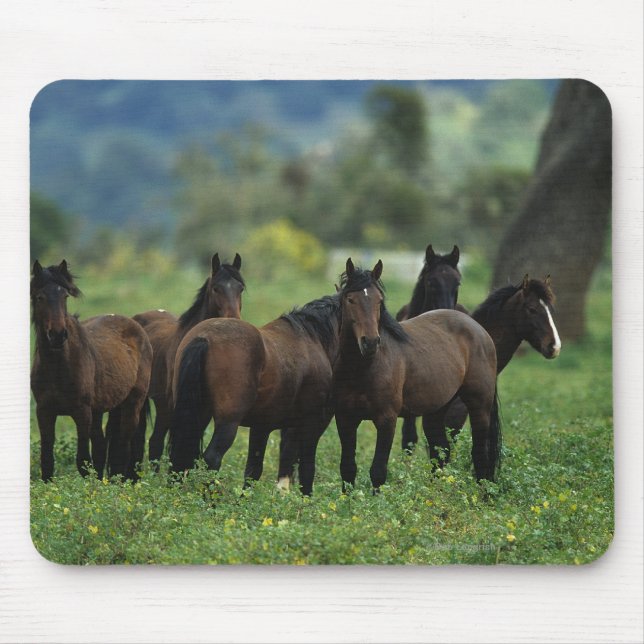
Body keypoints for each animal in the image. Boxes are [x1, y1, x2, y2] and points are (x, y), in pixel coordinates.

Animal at [30, 260, 152, 480]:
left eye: (65, 296)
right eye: (40, 297)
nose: (58, 335)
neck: (58, 367)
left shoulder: (82, 412)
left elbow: (83, 461)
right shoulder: (44, 411)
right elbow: (47, 461)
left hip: (132, 403)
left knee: (123, 443)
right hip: (100, 410)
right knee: (102, 446)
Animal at [132, 253, 244, 465]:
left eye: (241, 288)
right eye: (216, 288)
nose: (233, 320)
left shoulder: (204, 409)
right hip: (160, 404)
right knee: (154, 441)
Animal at [169, 292, 341, 496]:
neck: (312, 338)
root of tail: (203, 338)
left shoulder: (262, 426)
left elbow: (254, 469)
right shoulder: (311, 423)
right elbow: (306, 467)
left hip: (197, 414)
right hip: (228, 422)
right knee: (212, 458)